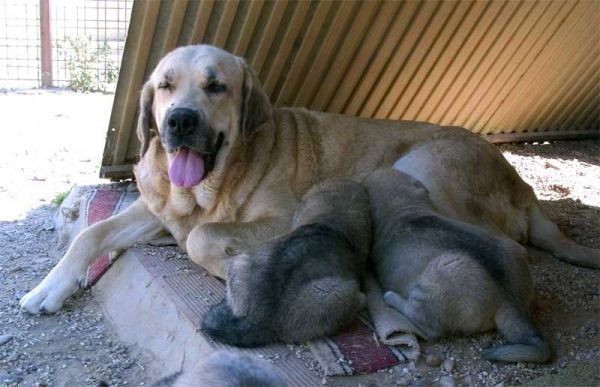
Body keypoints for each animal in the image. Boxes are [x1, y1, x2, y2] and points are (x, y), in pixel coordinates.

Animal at [19, 44, 600, 316]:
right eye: (165, 86)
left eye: (216, 86)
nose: (179, 121)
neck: (216, 183)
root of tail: (521, 182)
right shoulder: (161, 211)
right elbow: (93, 233)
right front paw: (49, 287)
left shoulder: (281, 217)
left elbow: (204, 238)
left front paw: (237, 269)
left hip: (420, 169)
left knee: (505, 249)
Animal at [364, 169, 552, 364]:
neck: (404, 209)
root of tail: (508, 300)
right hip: (513, 251)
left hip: (437, 285)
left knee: (427, 326)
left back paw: (391, 298)